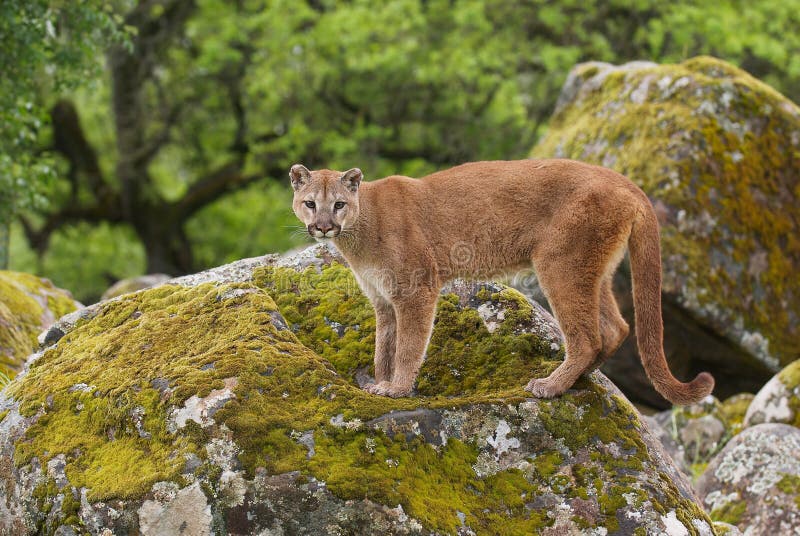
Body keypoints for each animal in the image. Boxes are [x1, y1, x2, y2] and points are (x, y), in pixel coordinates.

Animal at [288, 161, 712, 404]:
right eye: (310, 203)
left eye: (338, 204)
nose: (323, 227)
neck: (360, 231)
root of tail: (627, 182)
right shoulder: (382, 300)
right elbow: (384, 346)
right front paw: (378, 382)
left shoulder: (416, 289)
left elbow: (407, 346)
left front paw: (397, 388)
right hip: (592, 269)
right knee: (616, 327)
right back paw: (581, 378)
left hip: (560, 263)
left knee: (588, 336)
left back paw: (552, 385)